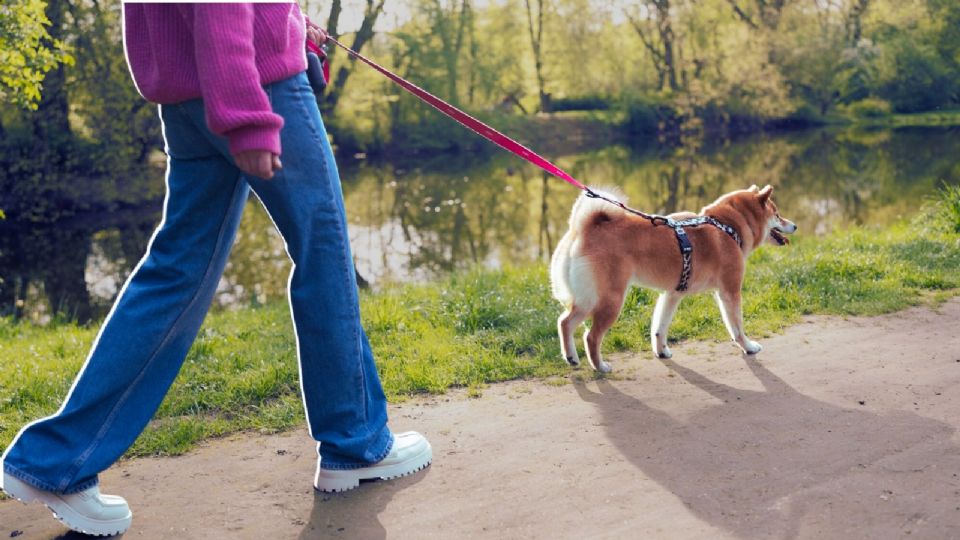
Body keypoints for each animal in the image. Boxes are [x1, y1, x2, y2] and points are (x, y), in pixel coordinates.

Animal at [548, 185, 796, 372]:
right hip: (610, 300)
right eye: (777, 214)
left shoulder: (672, 294)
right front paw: (748, 347)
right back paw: (600, 366)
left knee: (564, 322)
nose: (794, 225)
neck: (726, 225)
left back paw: (571, 357)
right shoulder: (730, 291)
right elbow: (736, 327)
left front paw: (661, 351)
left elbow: (659, 327)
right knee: (591, 336)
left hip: (587, 298)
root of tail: (584, 229)